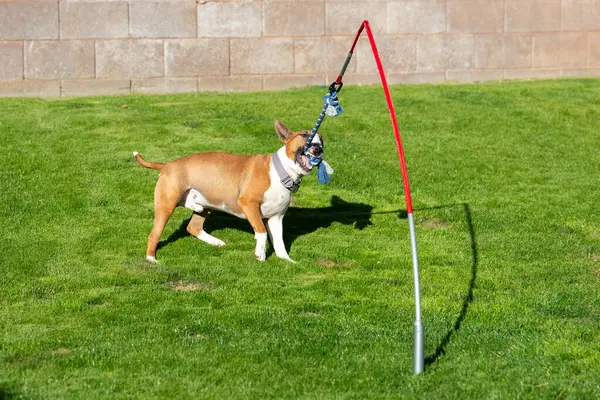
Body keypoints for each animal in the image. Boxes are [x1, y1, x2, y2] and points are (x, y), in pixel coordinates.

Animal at [134, 120, 326, 264]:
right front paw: (260, 254)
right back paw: (151, 258)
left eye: (322, 140)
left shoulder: (276, 218)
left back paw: (214, 239)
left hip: (207, 204)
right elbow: (261, 231)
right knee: (154, 234)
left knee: (193, 226)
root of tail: (166, 165)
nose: (319, 149)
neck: (280, 172)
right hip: (167, 204)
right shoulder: (249, 204)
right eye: (305, 135)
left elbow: (279, 242)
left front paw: (287, 260)